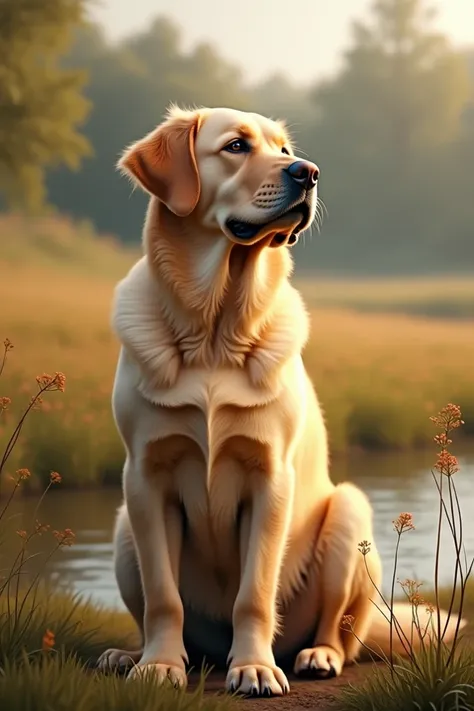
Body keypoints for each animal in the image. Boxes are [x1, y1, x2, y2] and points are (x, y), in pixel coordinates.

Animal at [98, 105, 462, 696]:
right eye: (236, 146)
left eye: (286, 151)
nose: (308, 173)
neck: (214, 329)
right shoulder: (146, 476)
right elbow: (163, 598)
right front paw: (159, 666)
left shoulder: (270, 478)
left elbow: (254, 593)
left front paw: (254, 667)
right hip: (124, 526)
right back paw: (130, 656)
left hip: (349, 515)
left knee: (340, 631)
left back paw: (316, 656)